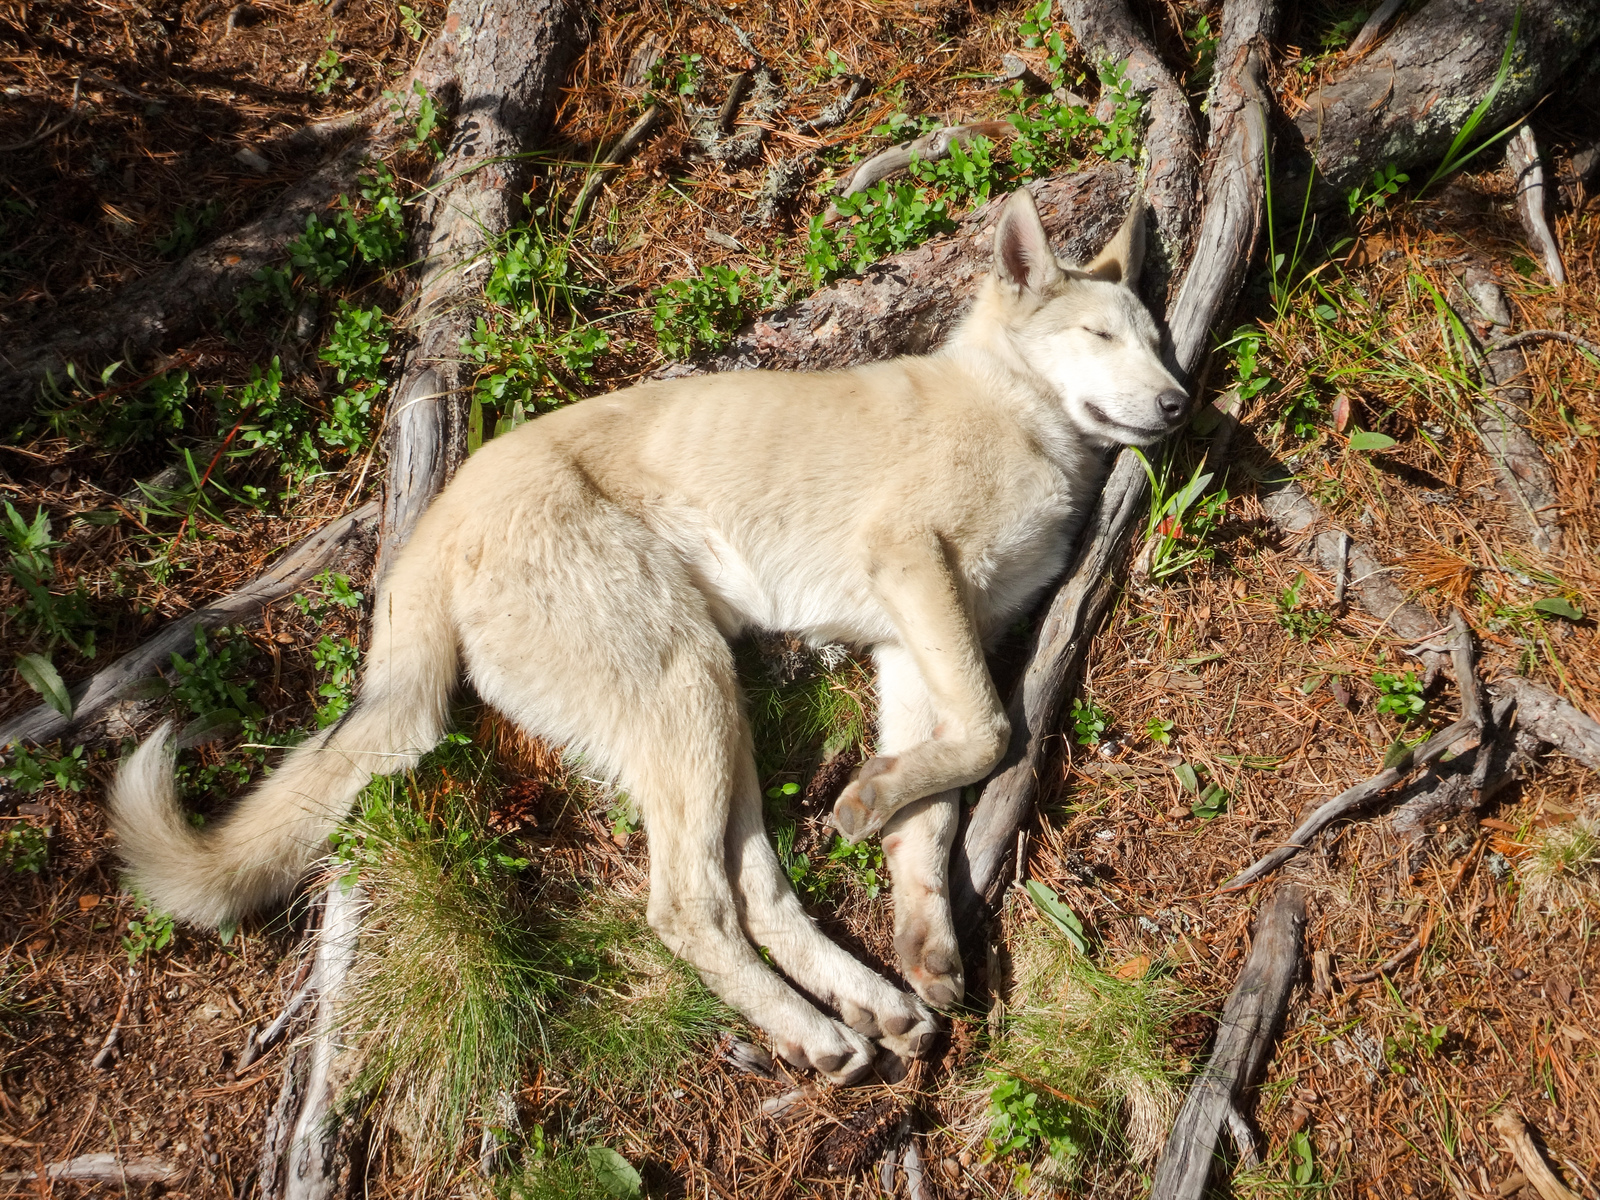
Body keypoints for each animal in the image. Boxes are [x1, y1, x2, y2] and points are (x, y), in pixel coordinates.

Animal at [112, 190, 1190, 1088]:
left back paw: (866, 1004)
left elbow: (930, 817)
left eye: (1157, 344)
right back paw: (812, 1034)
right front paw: (876, 809)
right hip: (688, 689)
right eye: (1097, 334)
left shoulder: (909, 644)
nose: (1180, 404)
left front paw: (920, 927)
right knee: (685, 906)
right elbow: (993, 735)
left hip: (712, 716)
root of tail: (440, 519)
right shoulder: (914, 571)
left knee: (751, 893)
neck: (1015, 415)